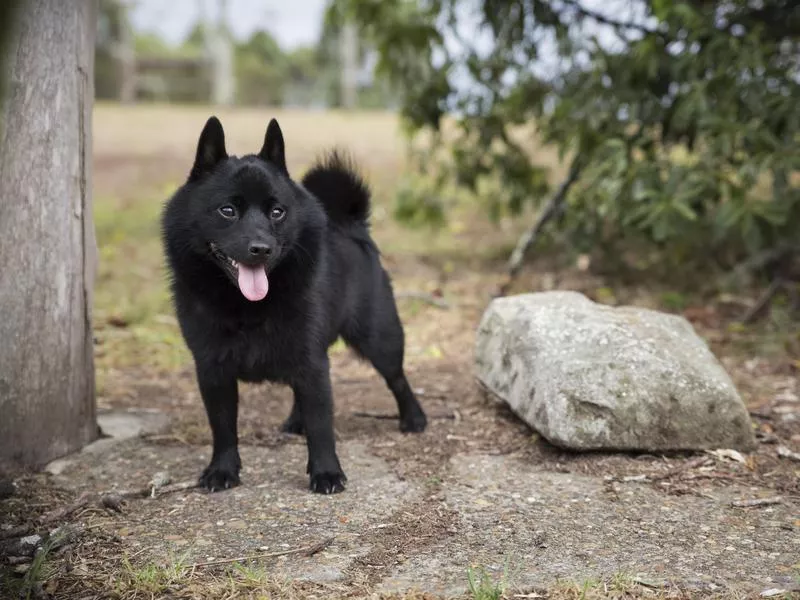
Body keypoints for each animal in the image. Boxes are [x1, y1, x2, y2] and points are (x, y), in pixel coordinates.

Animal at [159, 116, 428, 492]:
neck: (247, 307)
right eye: (227, 210)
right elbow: (223, 426)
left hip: (380, 339)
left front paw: (327, 472)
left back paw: (414, 418)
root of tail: (351, 224)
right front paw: (222, 470)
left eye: (277, 212)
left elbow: (321, 424)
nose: (261, 248)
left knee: (398, 379)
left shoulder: (312, 363)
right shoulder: (213, 370)